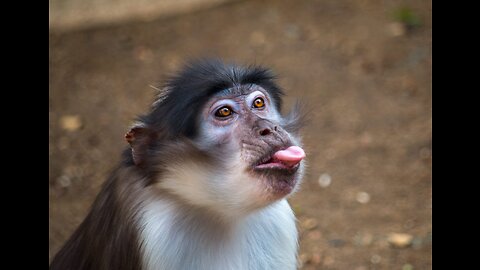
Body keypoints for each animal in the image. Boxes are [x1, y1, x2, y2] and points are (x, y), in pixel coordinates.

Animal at [49, 59, 308, 270]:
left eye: (258, 103)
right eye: (224, 112)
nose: (270, 128)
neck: (215, 210)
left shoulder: (276, 223)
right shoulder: (154, 230)